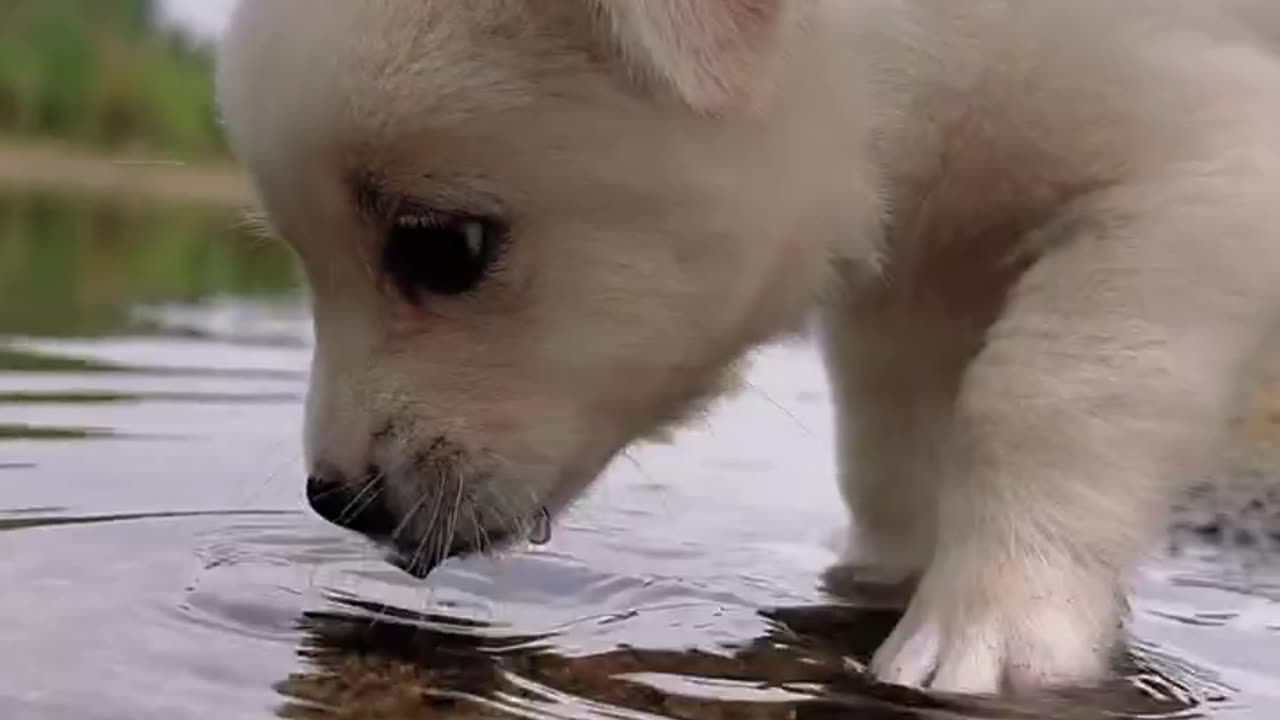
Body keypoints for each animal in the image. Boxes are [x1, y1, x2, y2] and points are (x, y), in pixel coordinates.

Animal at [215, 0, 1280, 696]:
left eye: (442, 248)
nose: (333, 501)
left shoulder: (1198, 163)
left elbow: (1046, 395)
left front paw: (1001, 623)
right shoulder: (915, 273)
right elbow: (891, 449)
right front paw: (880, 582)